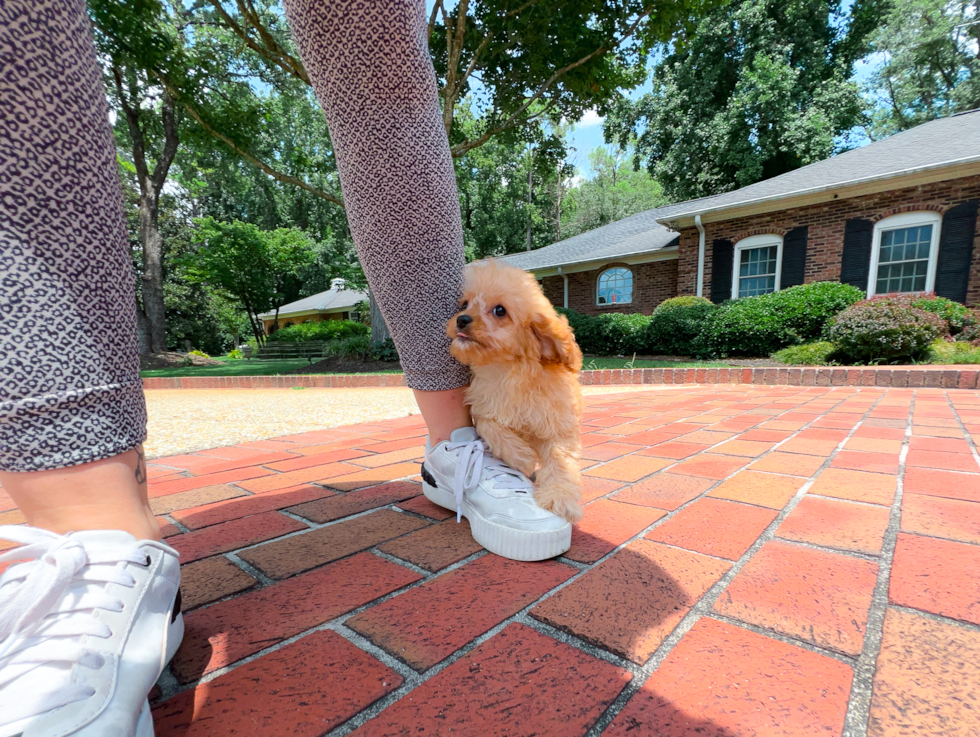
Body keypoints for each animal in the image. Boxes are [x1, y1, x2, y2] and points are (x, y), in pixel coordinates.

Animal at [450, 258, 580, 524]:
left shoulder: (558, 424)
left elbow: (561, 459)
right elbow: (489, 425)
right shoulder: (484, 404)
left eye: (500, 310)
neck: (509, 370)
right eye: (465, 304)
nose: (461, 319)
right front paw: (522, 457)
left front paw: (560, 497)